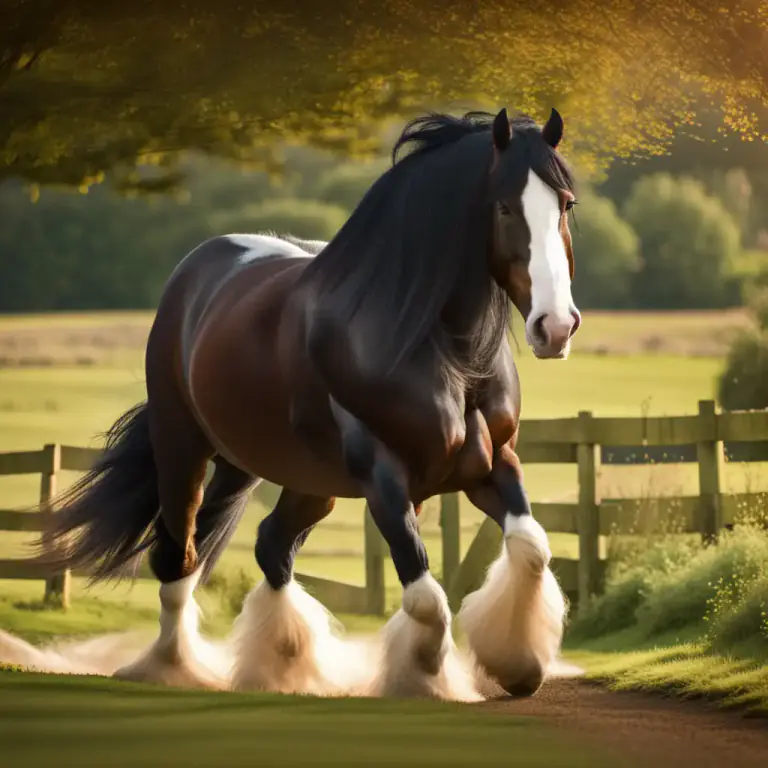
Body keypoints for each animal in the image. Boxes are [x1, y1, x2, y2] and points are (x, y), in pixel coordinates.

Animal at [36, 106, 581, 700]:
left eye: (565, 205)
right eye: (504, 207)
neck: (448, 355)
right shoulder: (384, 477)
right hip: (185, 452)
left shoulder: (490, 463)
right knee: (179, 559)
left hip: (292, 479)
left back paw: (280, 665)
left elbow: (530, 549)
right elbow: (425, 598)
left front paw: (517, 665)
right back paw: (173, 665)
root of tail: (197, 268)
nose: (555, 327)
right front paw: (424, 676)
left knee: (269, 548)